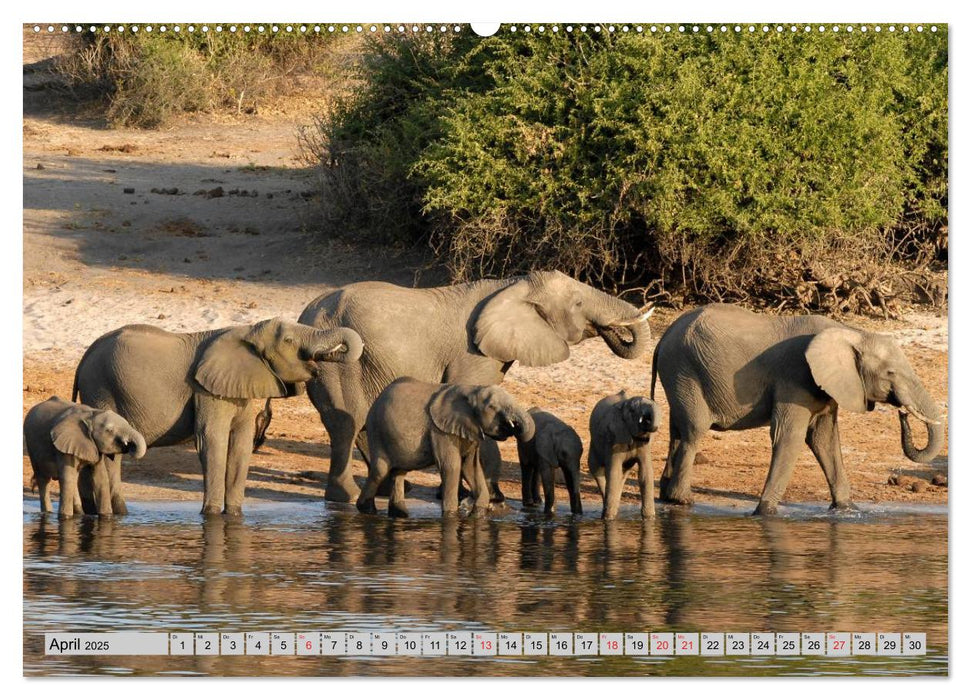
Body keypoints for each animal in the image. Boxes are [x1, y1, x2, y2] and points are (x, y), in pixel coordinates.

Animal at [74, 318, 364, 516]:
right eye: (289, 341)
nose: (330, 354)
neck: (248, 331)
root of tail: (85, 356)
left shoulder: (239, 388)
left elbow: (241, 444)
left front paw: (234, 516)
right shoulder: (206, 390)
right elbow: (212, 441)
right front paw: (211, 516)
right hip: (100, 387)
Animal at [292, 268, 648, 504]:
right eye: (577, 304)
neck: (511, 285)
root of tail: (306, 313)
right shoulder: (473, 353)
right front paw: (483, 498)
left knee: (362, 424)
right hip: (337, 364)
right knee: (346, 423)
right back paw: (346, 498)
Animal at [358, 378, 540, 520]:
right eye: (492, 406)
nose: (514, 426)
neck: (472, 390)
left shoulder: (470, 429)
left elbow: (471, 467)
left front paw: (477, 515)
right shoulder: (440, 430)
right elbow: (452, 466)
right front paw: (451, 517)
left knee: (399, 472)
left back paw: (399, 514)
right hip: (377, 430)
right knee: (380, 471)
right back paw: (366, 510)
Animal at [648, 304, 944, 516]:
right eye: (890, 373)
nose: (903, 413)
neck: (851, 333)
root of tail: (663, 338)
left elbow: (824, 439)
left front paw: (848, 509)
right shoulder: (794, 377)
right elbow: (789, 436)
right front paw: (764, 513)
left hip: (679, 374)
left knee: (677, 430)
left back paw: (668, 497)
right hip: (684, 370)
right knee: (694, 430)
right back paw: (683, 500)